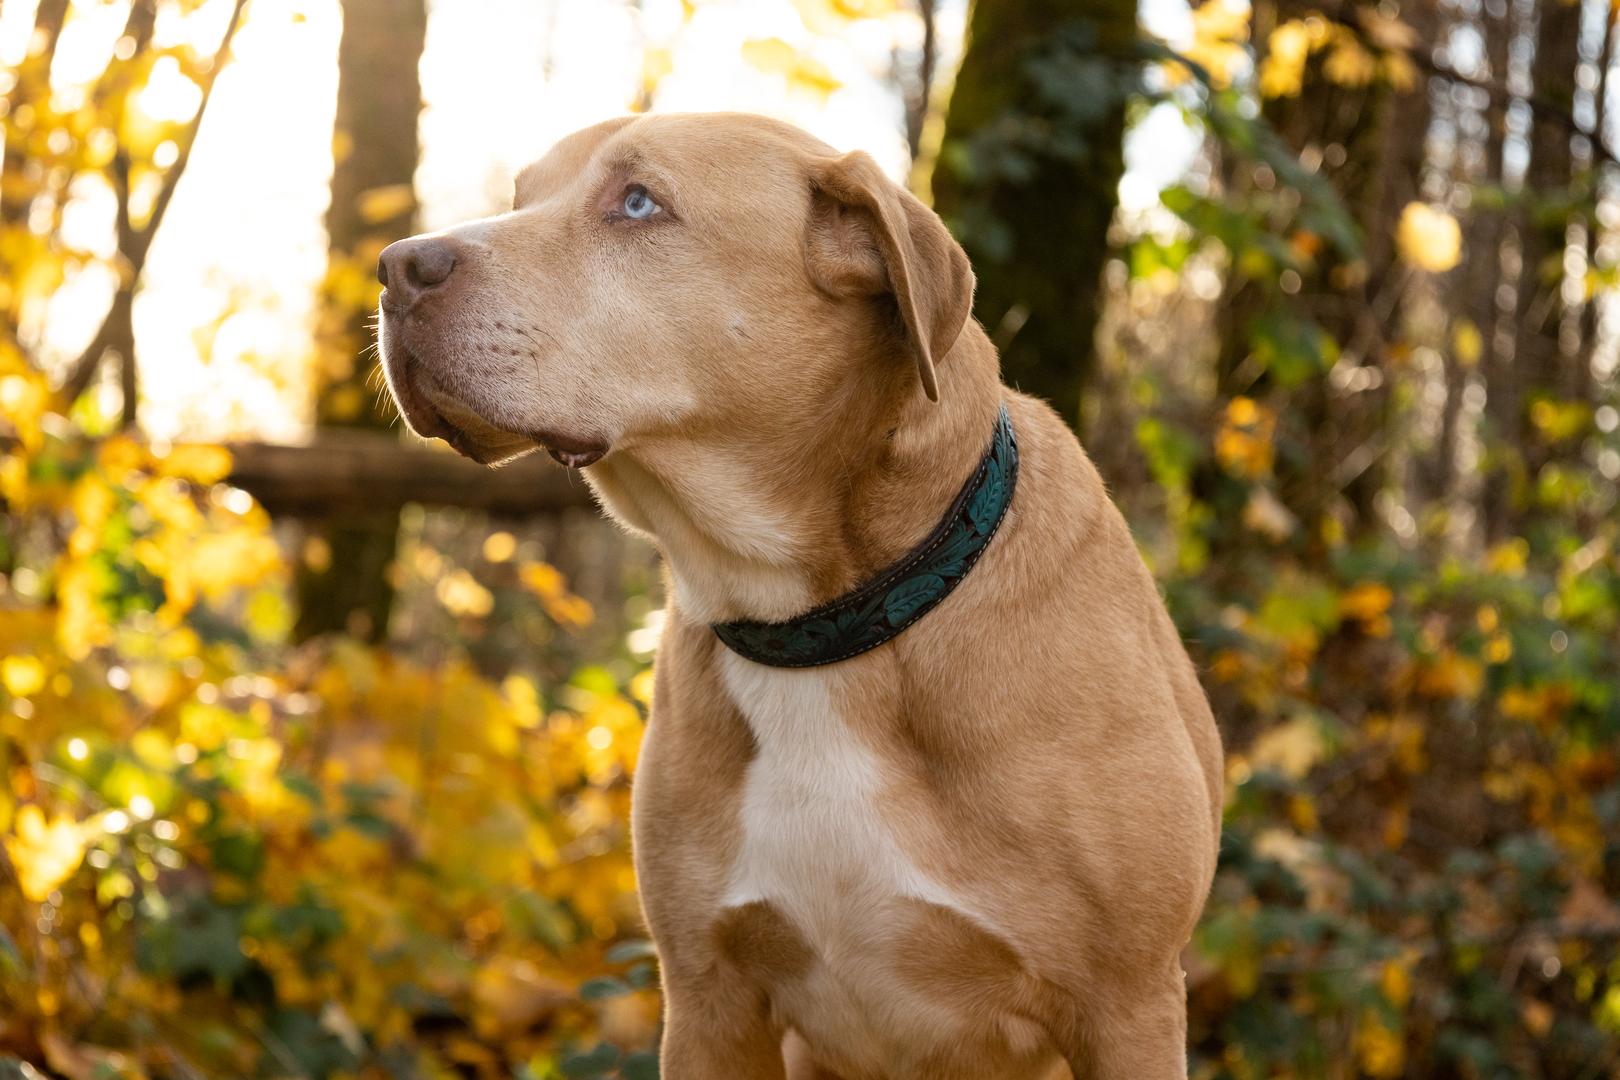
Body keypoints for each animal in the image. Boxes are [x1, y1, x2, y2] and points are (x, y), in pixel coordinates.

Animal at [377, 112, 1223, 1080]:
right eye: (523, 196)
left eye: (639, 202)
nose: (397, 266)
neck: (822, 622)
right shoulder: (708, 1000)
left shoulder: (1127, 1005)